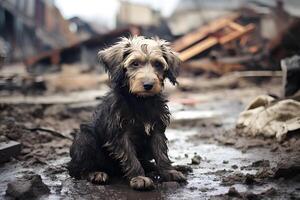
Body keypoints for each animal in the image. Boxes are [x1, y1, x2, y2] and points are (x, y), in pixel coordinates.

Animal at [67, 36, 188, 191]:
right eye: (134, 63)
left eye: (158, 64)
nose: (148, 85)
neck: (140, 100)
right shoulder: (120, 135)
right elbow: (130, 157)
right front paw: (139, 178)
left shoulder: (157, 130)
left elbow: (161, 153)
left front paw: (169, 172)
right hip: (85, 138)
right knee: (77, 170)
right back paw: (96, 173)